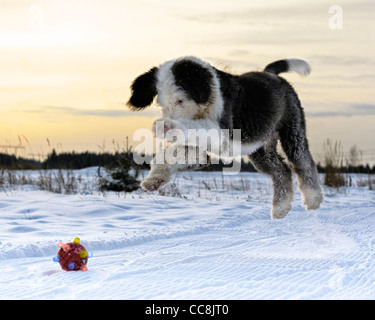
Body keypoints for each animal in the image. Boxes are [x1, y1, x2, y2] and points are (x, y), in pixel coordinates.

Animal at [129, 56, 324, 219]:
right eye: (161, 104)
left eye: (180, 100)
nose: (169, 120)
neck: (207, 103)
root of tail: (271, 74)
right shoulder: (198, 148)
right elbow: (175, 154)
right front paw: (155, 180)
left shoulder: (222, 133)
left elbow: (198, 129)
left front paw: (169, 127)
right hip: (260, 148)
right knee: (281, 170)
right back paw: (280, 208)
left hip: (293, 130)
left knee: (303, 162)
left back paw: (313, 201)